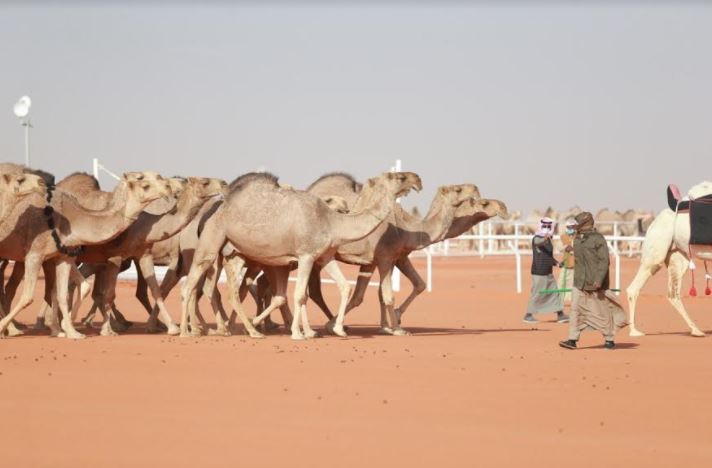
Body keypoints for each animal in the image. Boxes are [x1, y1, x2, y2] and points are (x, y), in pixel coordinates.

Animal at [0, 170, 170, 338]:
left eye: (158, 176)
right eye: (142, 179)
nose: (167, 186)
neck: (73, 219)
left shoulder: (63, 256)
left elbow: (64, 293)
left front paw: (71, 331)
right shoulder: (34, 255)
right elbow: (28, 296)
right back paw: (13, 330)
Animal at [181, 172, 422, 340]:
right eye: (399, 176)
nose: (418, 179)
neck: (331, 221)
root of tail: (215, 208)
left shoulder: (323, 256)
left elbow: (343, 286)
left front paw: (336, 329)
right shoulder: (305, 255)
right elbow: (299, 295)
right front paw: (299, 334)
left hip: (236, 253)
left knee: (230, 290)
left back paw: (251, 330)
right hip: (212, 240)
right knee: (192, 282)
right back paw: (188, 331)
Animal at [624, 181, 712, 338]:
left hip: (678, 256)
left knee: (673, 293)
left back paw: (696, 330)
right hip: (655, 252)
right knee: (634, 288)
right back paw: (634, 331)